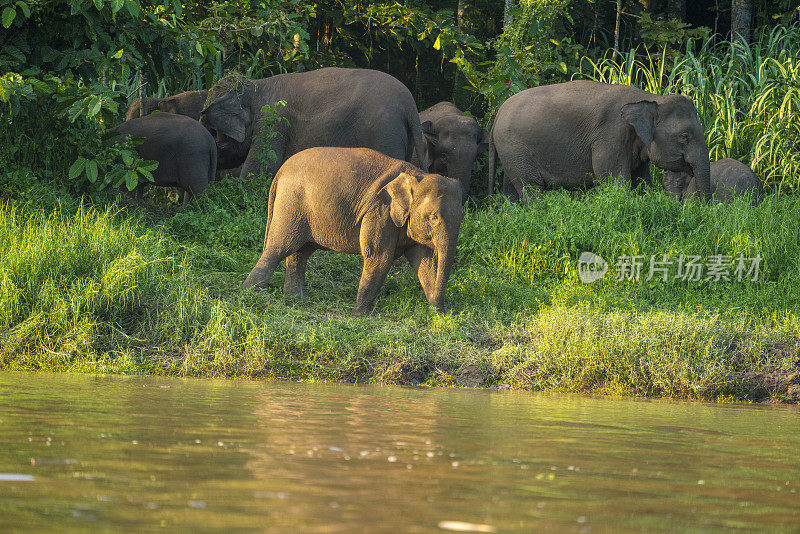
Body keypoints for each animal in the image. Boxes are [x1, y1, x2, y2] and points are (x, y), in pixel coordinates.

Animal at [198, 69, 428, 180]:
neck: (255, 86)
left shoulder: (272, 122)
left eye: (215, 133)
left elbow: (261, 169)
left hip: (384, 131)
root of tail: (409, 102)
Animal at [242, 147, 462, 316]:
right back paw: (251, 294)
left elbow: (424, 262)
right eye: (434, 218)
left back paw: (297, 298)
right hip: (291, 205)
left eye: (462, 217)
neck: (417, 175)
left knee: (300, 252)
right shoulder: (379, 212)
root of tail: (280, 172)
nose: (446, 311)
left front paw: (438, 314)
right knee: (278, 248)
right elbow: (379, 257)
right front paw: (359, 315)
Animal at [488, 80, 712, 203]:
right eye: (684, 136)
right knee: (531, 187)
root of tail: (498, 113)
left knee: (511, 191)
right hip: (515, 148)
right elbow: (615, 181)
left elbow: (642, 182)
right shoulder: (610, 135)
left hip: (511, 152)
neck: (650, 98)